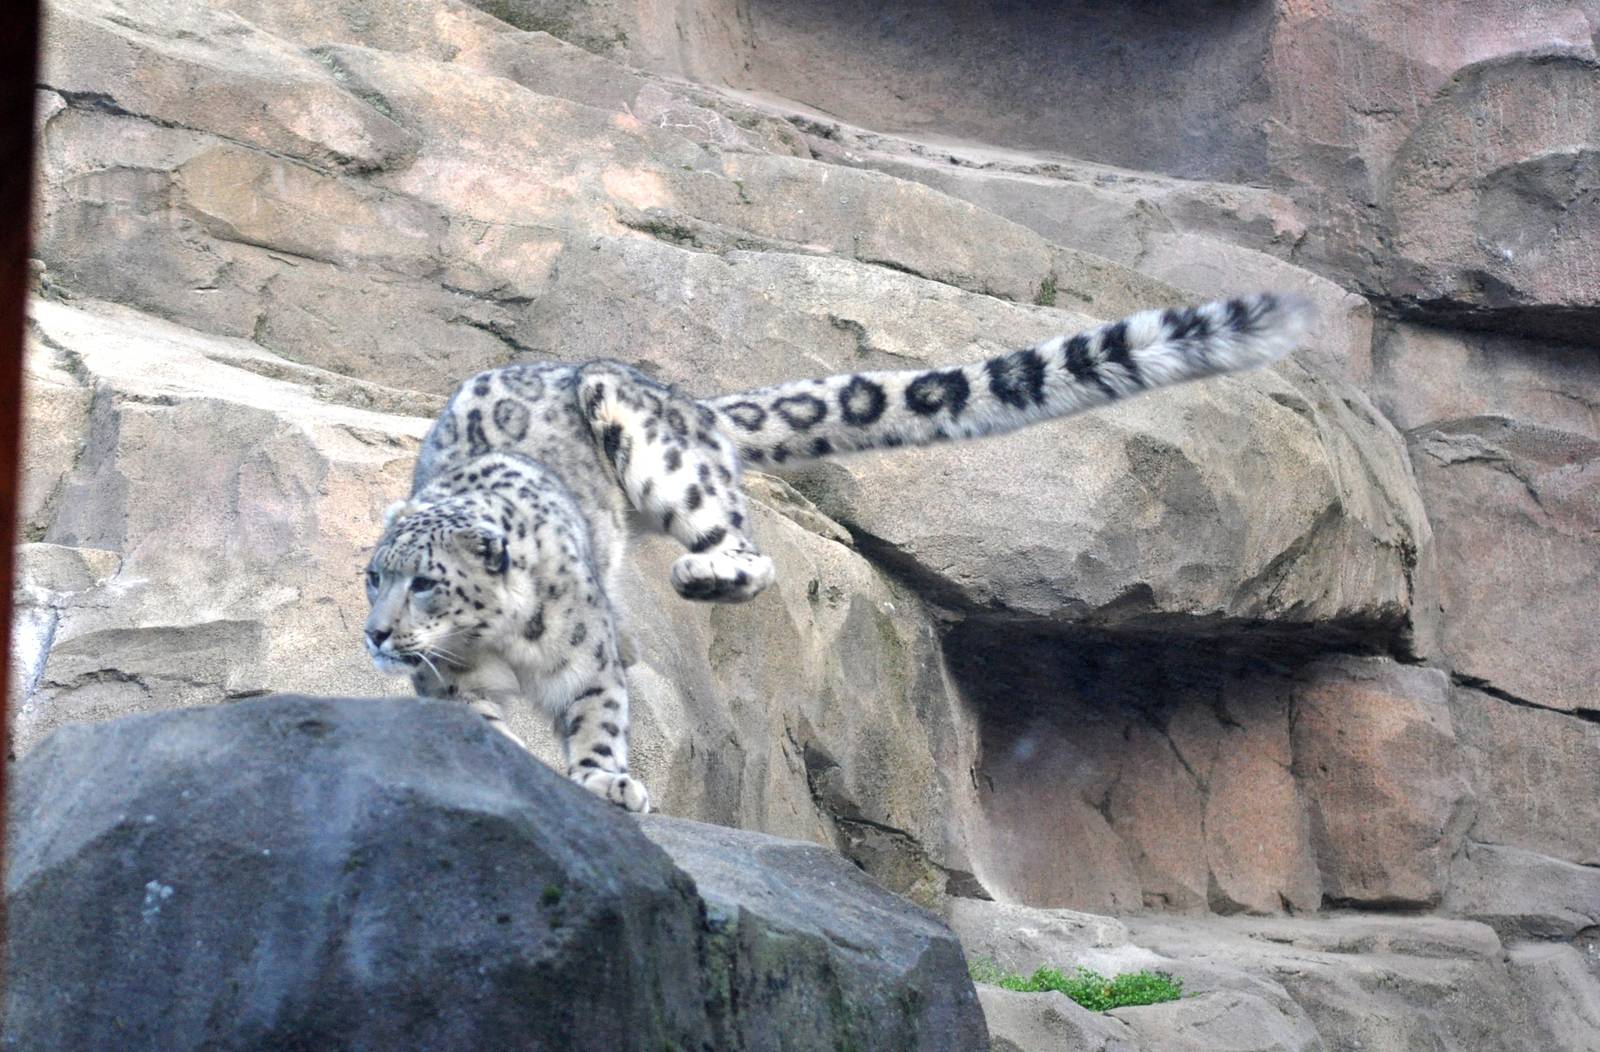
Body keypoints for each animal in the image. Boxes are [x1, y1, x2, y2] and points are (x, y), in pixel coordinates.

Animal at [364, 293, 1313, 813]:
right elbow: (469, 723)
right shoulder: (447, 684)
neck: (496, 648)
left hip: (653, 445)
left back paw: (698, 571)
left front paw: (605, 783)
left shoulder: (582, 663)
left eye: (426, 584)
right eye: (373, 578)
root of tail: (684, 399)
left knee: (738, 543)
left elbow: (598, 717)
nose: (374, 633)